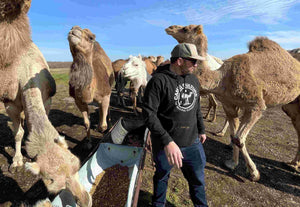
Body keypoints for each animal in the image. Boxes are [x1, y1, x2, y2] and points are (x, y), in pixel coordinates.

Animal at [0, 0, 91, 205]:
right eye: (52, 184)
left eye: (77, 163)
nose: (85, 200)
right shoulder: (10, 104)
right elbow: (17, 133)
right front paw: (16, 161)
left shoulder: (47, 98)